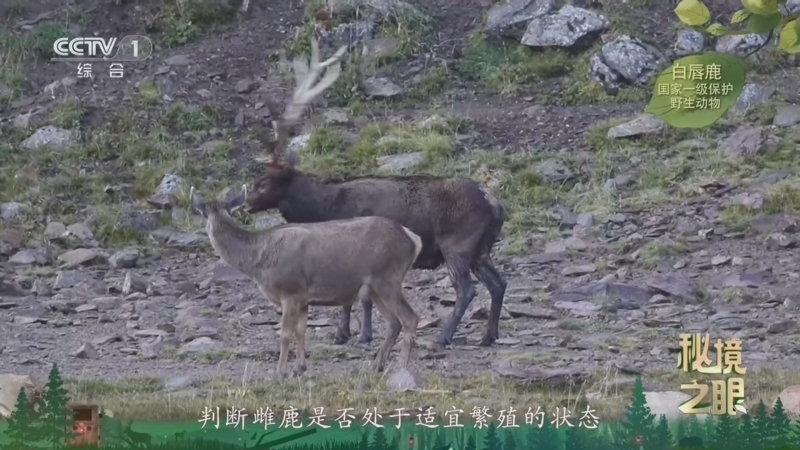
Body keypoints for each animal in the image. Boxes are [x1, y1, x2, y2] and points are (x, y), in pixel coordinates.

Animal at [189, 184, 422, 377]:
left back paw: (401, 367)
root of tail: (413, 238)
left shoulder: (290, 291)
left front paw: (280, 372)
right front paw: (299, 368)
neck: (258, 261)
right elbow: (301, 332)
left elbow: (285, 334)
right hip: (374, 286)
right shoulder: (303, 298)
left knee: (410, 318)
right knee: (394, 322)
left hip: (388, 278)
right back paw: (377, 365)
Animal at [243, 38, 507, 352]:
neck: (325, 208)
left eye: (263, 182)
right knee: (498, 283)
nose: (245, 203)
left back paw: (444, 337)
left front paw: (359, 334)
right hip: (482, 248)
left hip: (457, 244)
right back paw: (488, 335)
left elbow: (361, 297)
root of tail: (495, 205)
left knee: (467, 289)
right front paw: (346, 333)